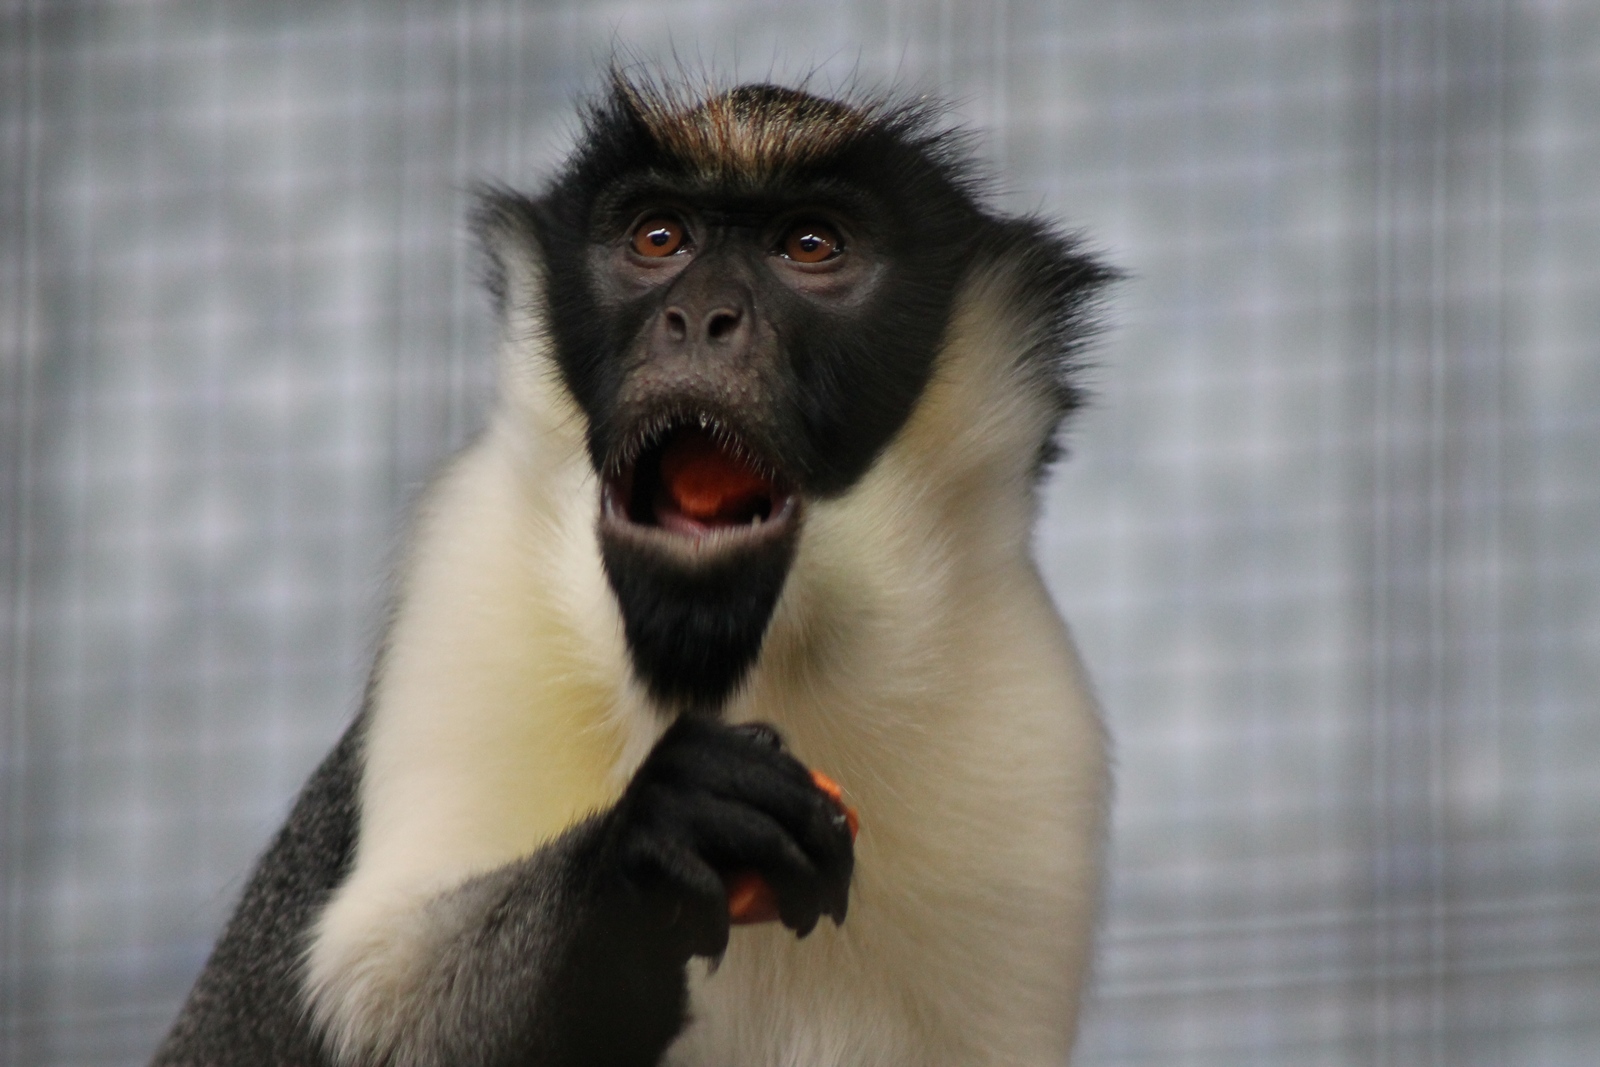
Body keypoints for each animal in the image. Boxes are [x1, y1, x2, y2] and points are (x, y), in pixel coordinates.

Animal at [156, 75, 1120, 1067]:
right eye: (659, 237)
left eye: (810, 244)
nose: (699, 320)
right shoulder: (470, 566)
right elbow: (387, 997)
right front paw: (650, 846)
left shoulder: (1030, 725)